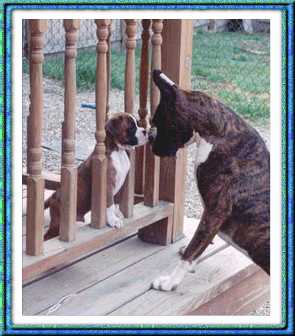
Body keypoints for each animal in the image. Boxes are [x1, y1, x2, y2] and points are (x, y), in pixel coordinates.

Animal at [44, 113, 148, 242]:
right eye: (131, 127)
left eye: (137, 124)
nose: (146, 131)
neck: (118, 151)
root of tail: (53, 195)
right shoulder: (108, 185)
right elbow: (109, 204)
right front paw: (113, 220)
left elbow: (115, 202)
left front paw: (116, 214)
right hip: (57, 224)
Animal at [150, 70, 270, 292]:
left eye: (157, 122)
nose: (150, 140)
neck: (219, 132)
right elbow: (199, 244)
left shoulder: (215, 211)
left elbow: (194, 247)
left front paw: (170, 281)